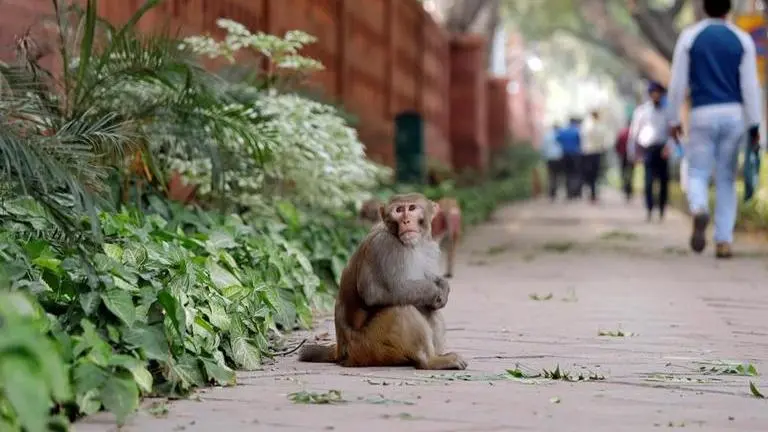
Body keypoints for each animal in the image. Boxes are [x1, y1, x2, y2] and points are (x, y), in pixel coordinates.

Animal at [298, 193, 467, 370]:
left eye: (412, 208)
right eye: (399, 210)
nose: (406, 221)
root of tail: (341, 351)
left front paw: (443, 286)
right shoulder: (384, 246)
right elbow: (376, 293)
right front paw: (434, 291)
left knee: (428, 310)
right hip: (369, 347)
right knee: (401, 308)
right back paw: (429, 361)